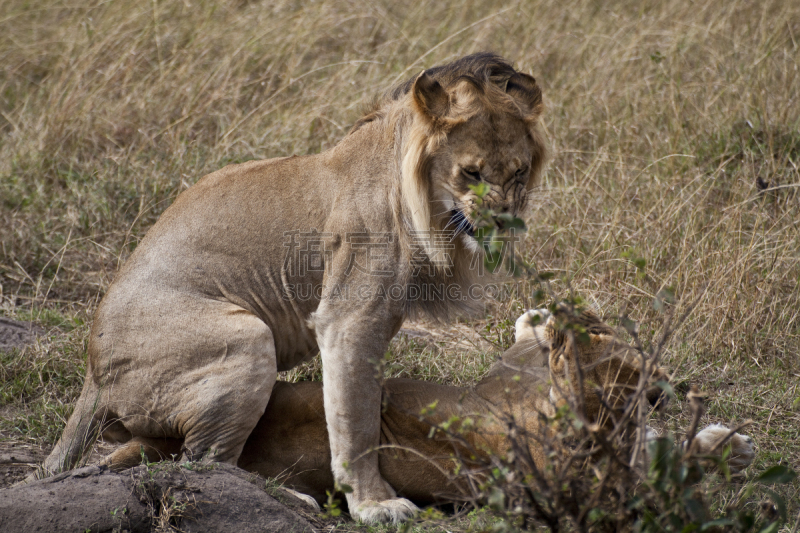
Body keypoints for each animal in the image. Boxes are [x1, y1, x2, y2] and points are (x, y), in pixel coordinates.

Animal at [37, 53, 552, 524]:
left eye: (519, 173)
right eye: (471, 172)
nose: (504, 222)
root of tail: (93, 374)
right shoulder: (348, 321)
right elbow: (357, 422)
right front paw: (374, 505)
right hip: (245, 340)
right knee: (201, 463)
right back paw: (292, 500)